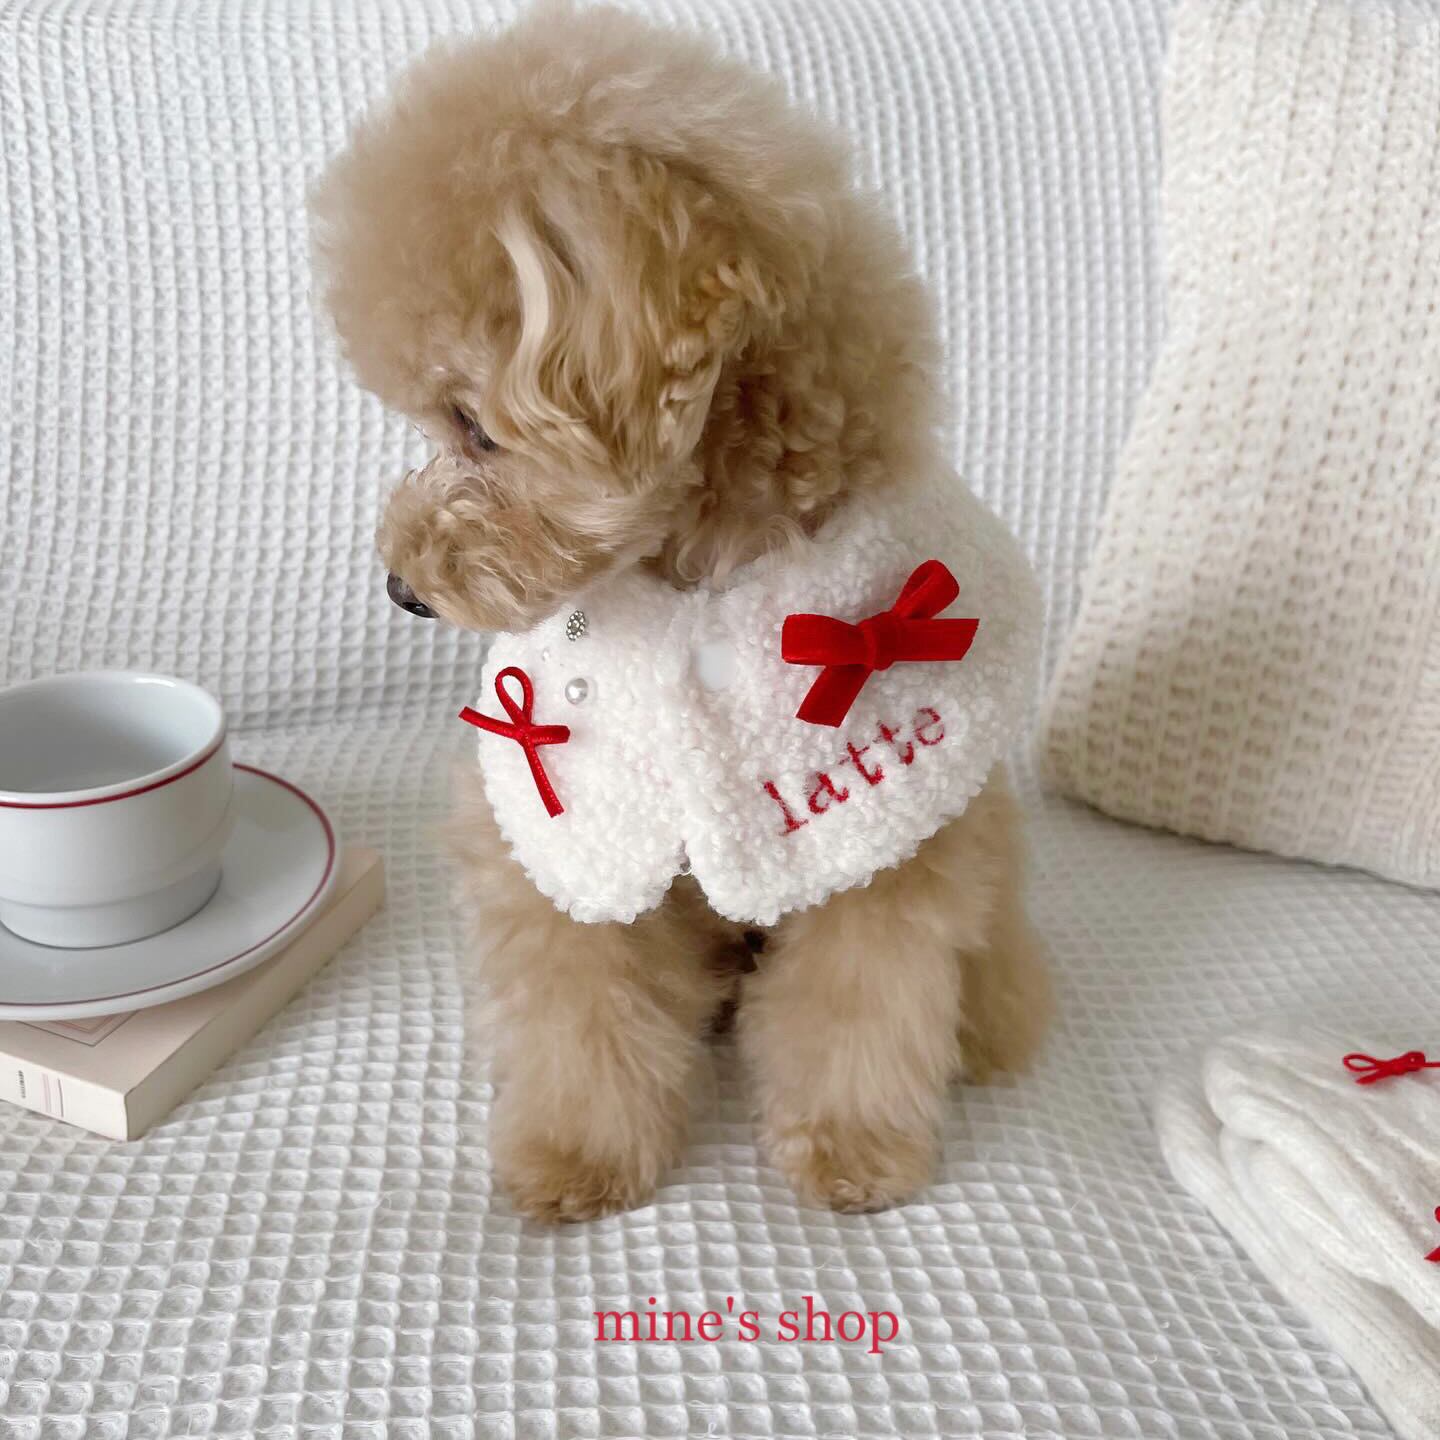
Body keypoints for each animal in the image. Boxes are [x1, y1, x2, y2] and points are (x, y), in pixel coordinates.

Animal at [312, 1, 1050, 1220]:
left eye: (475, 427)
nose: (400, 590)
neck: (700, 561)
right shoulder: (568, 832)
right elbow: (582, 996)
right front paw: (576, 1154)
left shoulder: (886, 845)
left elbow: (862, 999)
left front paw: (850, 1149)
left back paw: (994, 1030)